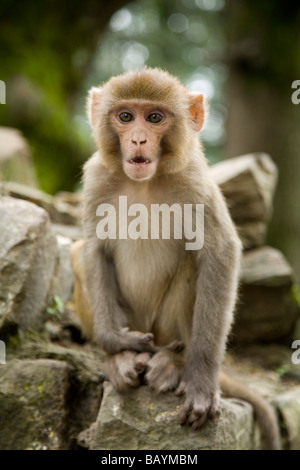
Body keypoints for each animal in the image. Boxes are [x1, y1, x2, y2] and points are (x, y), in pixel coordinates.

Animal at [71, 68, 282, 450]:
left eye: (154, 118)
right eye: (126, 117)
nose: (139, 140)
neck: (144, 183)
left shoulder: (195, 181)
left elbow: (219, 252)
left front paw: (201, 381)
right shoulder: (95, 179)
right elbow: (94, 248)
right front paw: (116, 342)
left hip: (164, 328)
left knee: (193, 266)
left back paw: (173, 361)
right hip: (137, 321)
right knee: (77, 251)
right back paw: (120, 359)